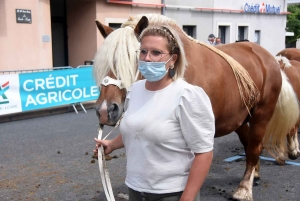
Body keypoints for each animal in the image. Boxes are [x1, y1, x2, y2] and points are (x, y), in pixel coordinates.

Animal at [92, 13, 298, 200]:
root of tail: (268, 57)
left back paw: (244, 188)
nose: (105, 111)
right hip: (239, 119)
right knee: (251, 146)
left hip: (261, 116)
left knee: (255, 146)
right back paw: (255, 174)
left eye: (133, 59)